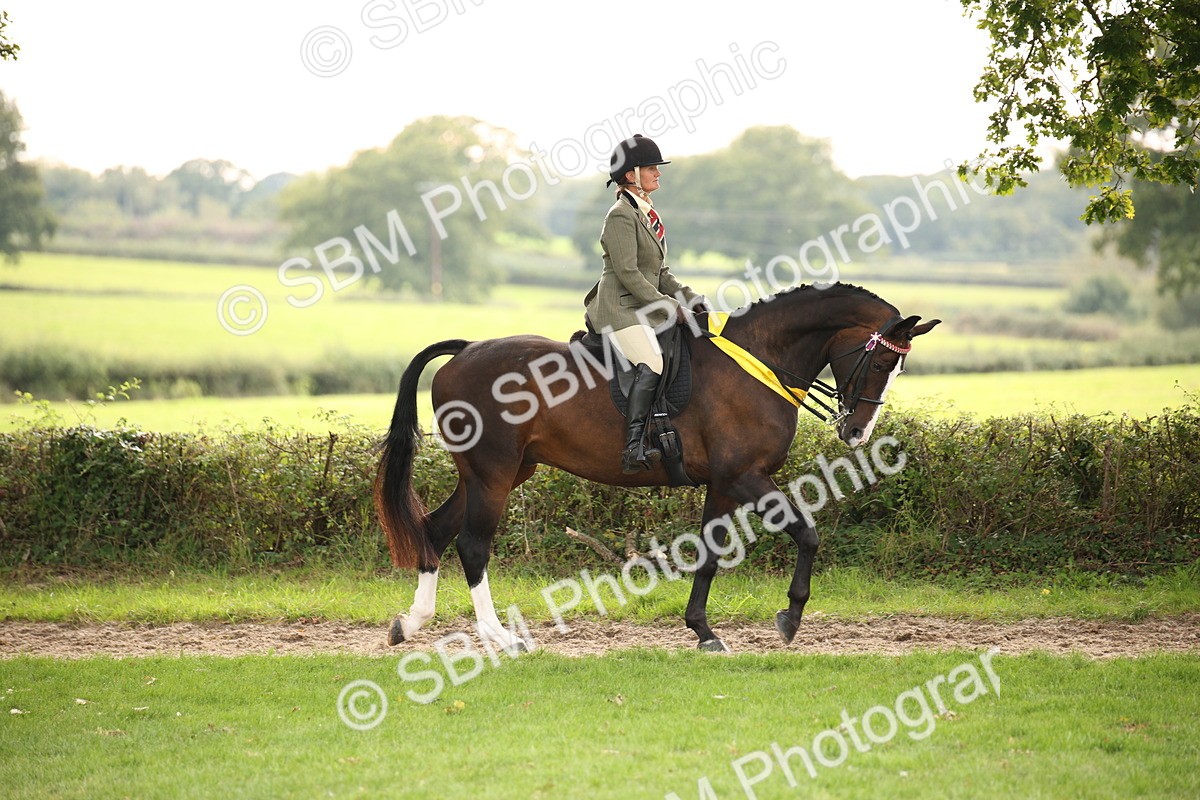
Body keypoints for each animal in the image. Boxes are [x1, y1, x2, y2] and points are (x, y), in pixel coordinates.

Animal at [374, 283, 940, 652]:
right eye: (881, 362)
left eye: (898, 367)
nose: (856, 432)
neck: (759, 359)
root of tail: (467, 349)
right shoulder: (746, 477)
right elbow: (808, 533)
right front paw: (790, 617)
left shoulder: (724, 484)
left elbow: (710, 553)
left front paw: (703, 631)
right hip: (492, 474)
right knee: (472, 544)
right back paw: (501, 637)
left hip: (501, 473)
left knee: (436, 529)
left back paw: (411, 624)